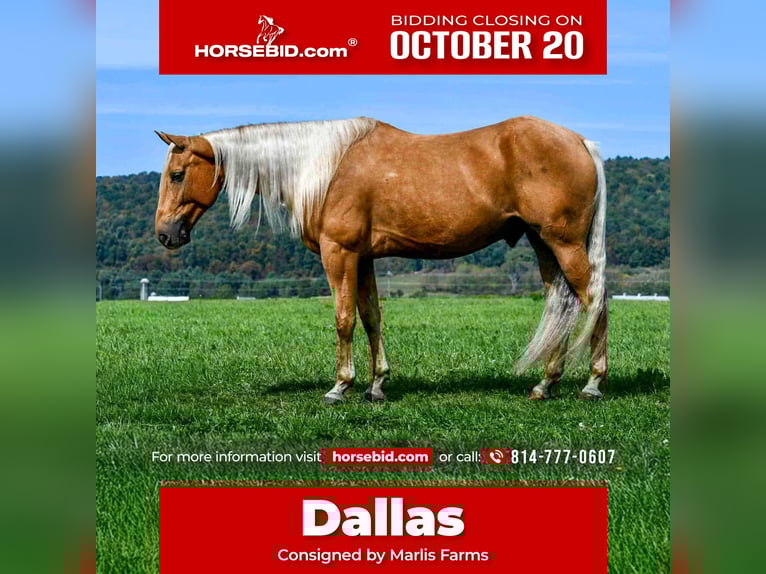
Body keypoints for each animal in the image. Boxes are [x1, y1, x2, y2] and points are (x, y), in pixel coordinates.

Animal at [154, 116, 608, 403]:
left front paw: (340, 387)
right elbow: (371, 316)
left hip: (564, 243)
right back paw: (546, 384)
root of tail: (580, 142)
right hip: (543, 245)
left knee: (595, 302)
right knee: (562, 305)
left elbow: (344, 320)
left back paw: (593, 383)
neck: (324, 167)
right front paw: (377, 386)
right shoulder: (365, 258)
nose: (165, 234)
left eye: (177, 174)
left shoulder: (340, 254)